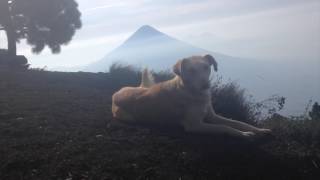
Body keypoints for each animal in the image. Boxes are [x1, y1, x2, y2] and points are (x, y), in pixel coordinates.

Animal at [111, 54, 272, 139]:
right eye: (191, 70)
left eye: (206, 67)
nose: (205, 84)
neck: (192, 91)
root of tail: (115, 94)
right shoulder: (195, 125)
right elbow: (224, 127)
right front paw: (244, 134)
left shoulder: (213, 116)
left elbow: (238, 122)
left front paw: (259, 130)